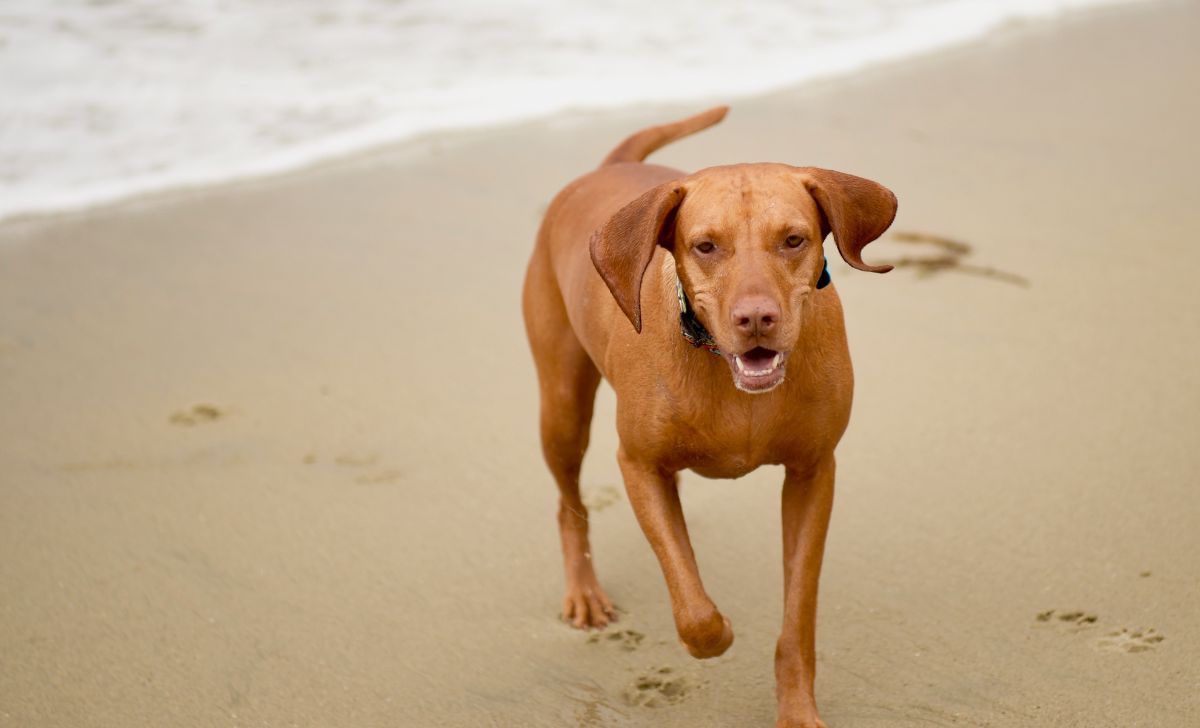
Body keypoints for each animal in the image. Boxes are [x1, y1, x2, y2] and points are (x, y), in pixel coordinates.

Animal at [520, 103, 897, 728]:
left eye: (793, 239)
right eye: (705, 246)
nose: (756, 318)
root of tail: (610, 167)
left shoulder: (813, 473)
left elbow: (798, 616)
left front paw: (797, 710)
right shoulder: (638, 465)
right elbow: (693, 610)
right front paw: (716, 633)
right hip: (563, 405)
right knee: (569, 502)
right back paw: (585, 592)